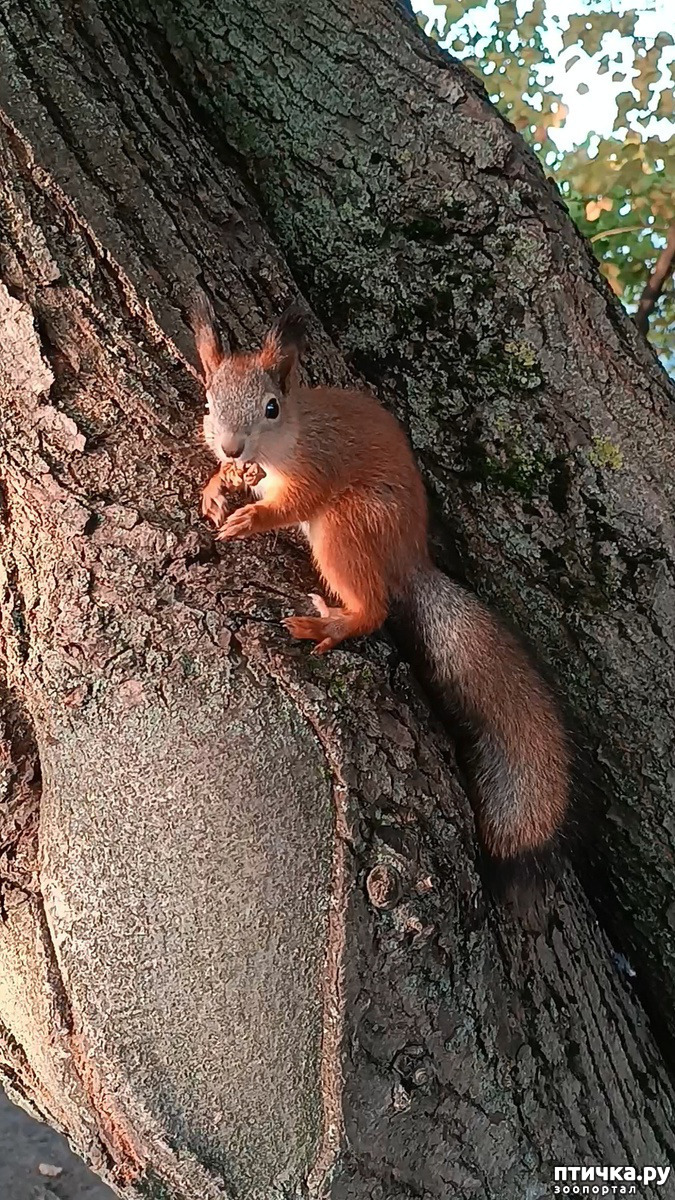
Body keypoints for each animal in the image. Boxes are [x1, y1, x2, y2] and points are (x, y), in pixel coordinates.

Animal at [189, 298, 566, 864]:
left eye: (272, 407)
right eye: (210, 404)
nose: (232, 448)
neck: (286, 440)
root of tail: (409, 558)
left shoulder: (317, 465)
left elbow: (294, 503)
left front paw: (250, 518)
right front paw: (217, 487)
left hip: (348, 525)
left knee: (375, 608)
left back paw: (332, 624)